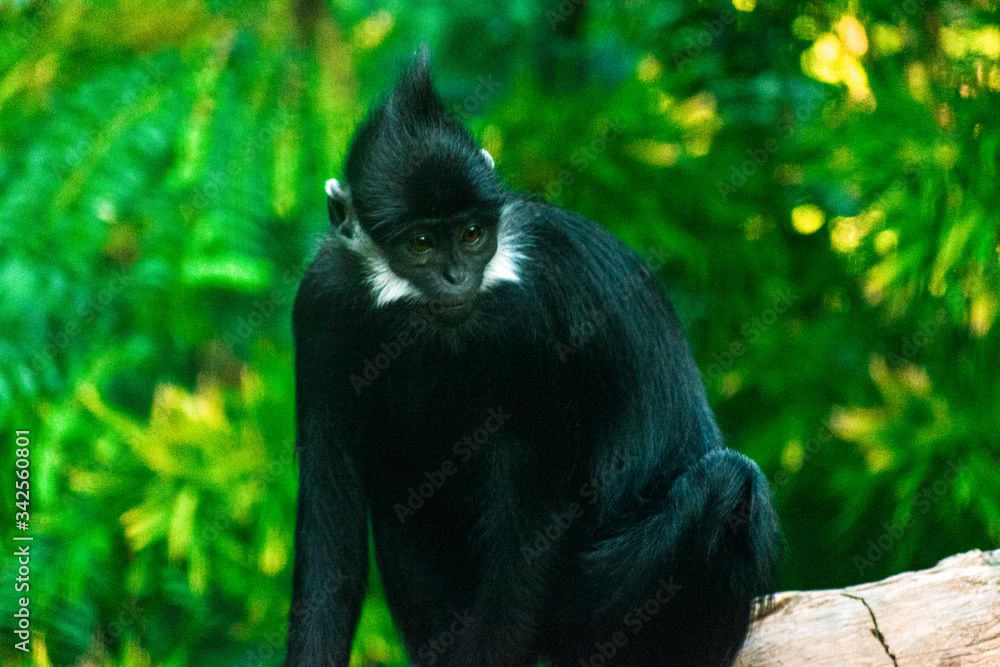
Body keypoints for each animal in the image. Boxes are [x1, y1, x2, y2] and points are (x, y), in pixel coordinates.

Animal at [286, 51, 781, 667]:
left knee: (729, 480)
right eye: (421, 244)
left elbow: (527, 542)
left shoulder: (530, 326)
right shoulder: (321, 302)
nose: (457, 278)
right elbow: (331, 540)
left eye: (473, 235)